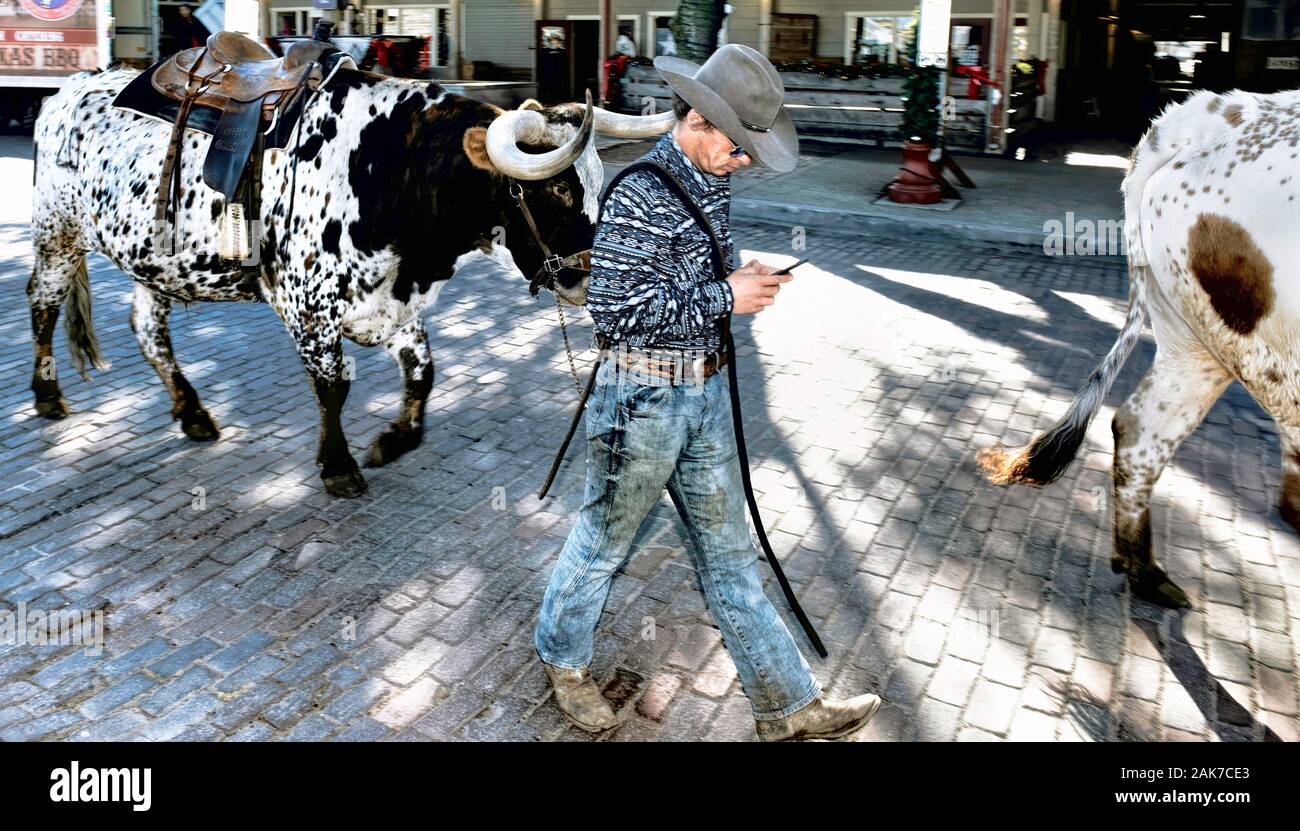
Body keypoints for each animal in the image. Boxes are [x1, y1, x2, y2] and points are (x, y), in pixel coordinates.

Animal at [29, 65, 673, 497]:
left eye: (598, 179)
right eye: (557, 188)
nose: (590, 277)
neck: (389, 167)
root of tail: (69, 89)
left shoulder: (392, 305)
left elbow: (423, 373)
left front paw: (393, 439)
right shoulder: (309, 309)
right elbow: (333, 386)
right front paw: (338, 466)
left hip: (151, 261)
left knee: (147, 328)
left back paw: (191, 411)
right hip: (56, 233)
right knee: (43, 305)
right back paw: (47, 395)